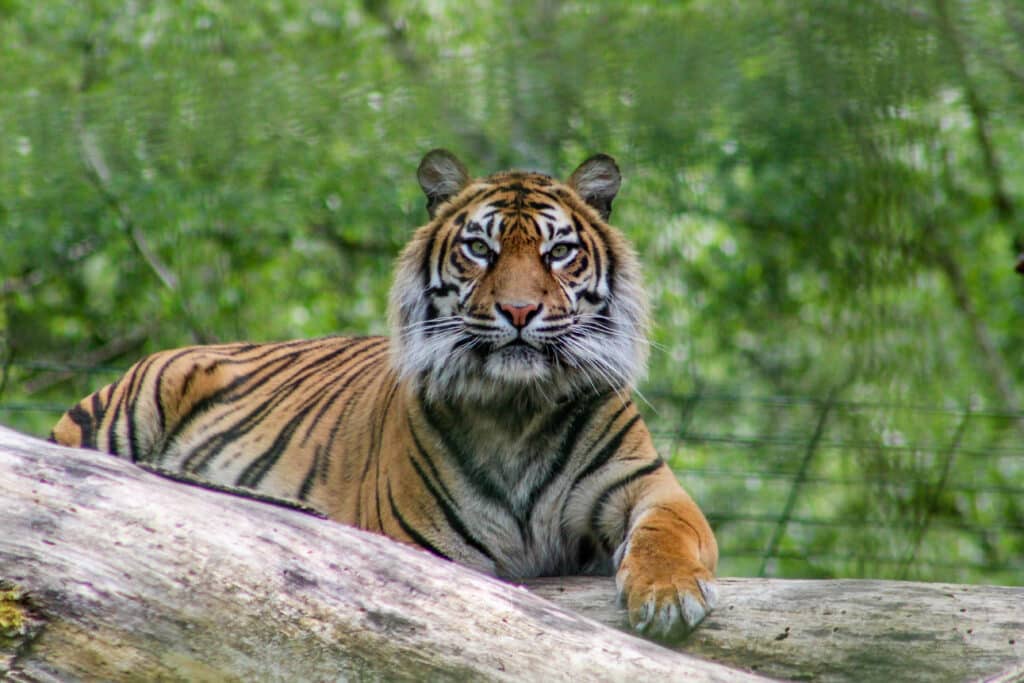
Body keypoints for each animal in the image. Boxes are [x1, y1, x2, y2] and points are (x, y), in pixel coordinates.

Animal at [51, 149, 718, 638]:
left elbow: (668, 531)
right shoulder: (421, 545)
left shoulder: (649, 484)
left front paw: (669, 596)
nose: (519, 311)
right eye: (480, 249)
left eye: (559, 252)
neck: (517, 408)